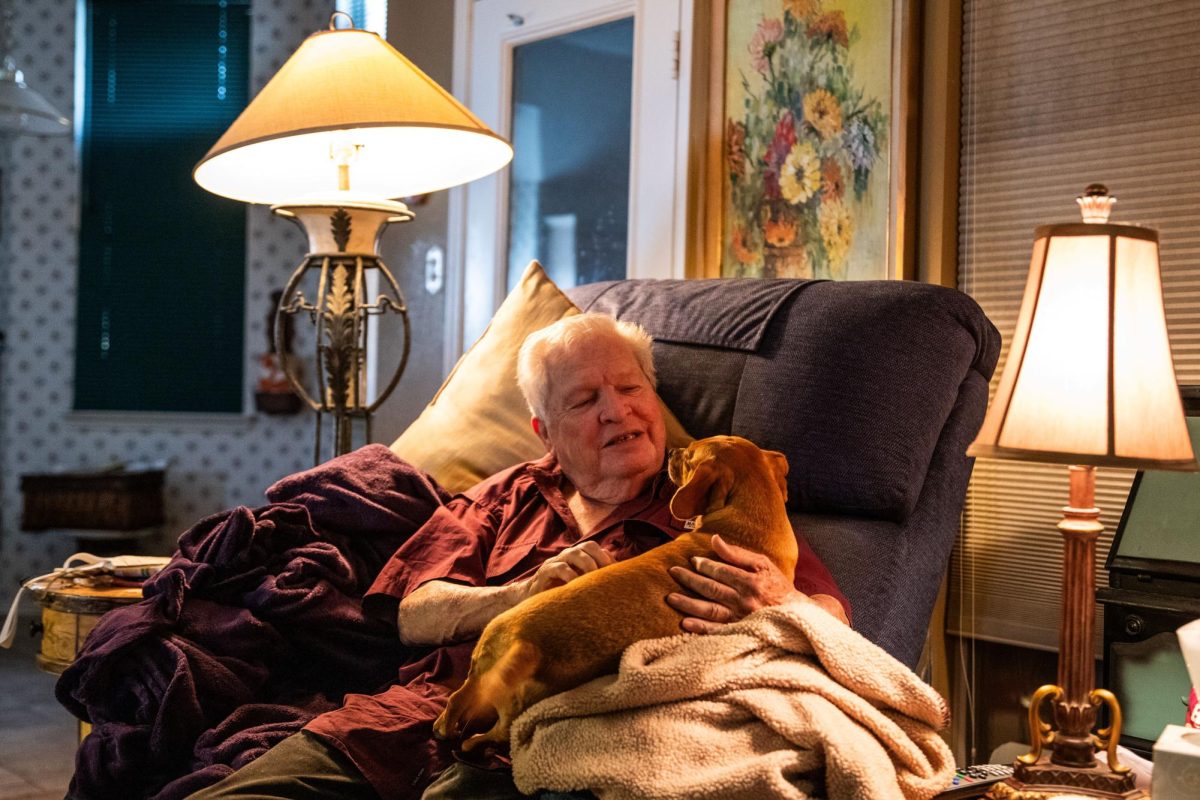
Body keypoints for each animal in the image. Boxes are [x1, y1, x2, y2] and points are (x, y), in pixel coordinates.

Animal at [432, 431, 796, 753]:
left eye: (688, 456)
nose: (672, 451)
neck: (751, 518)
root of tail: (529, 646)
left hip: (488, 666)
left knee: (464, 708)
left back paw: (445, 728)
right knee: (486, 724)